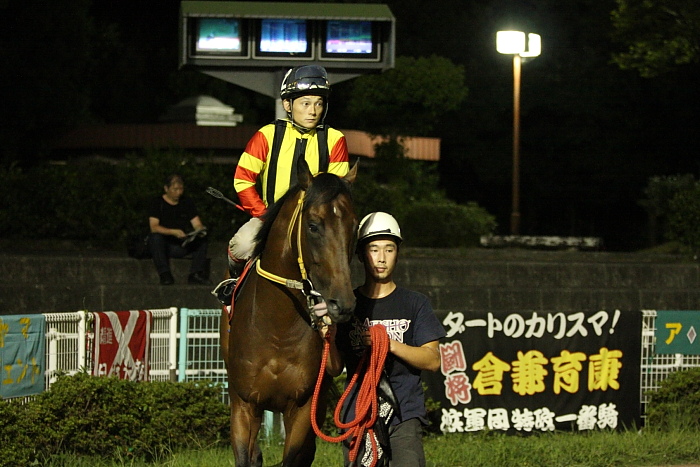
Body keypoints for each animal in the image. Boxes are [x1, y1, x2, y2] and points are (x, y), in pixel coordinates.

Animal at [221, 159, 358, 466]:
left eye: (354, 227)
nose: (343, 304)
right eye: (313, 225)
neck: (277, 329)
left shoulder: (303, 407)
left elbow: (294, 456)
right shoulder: (244, 405)